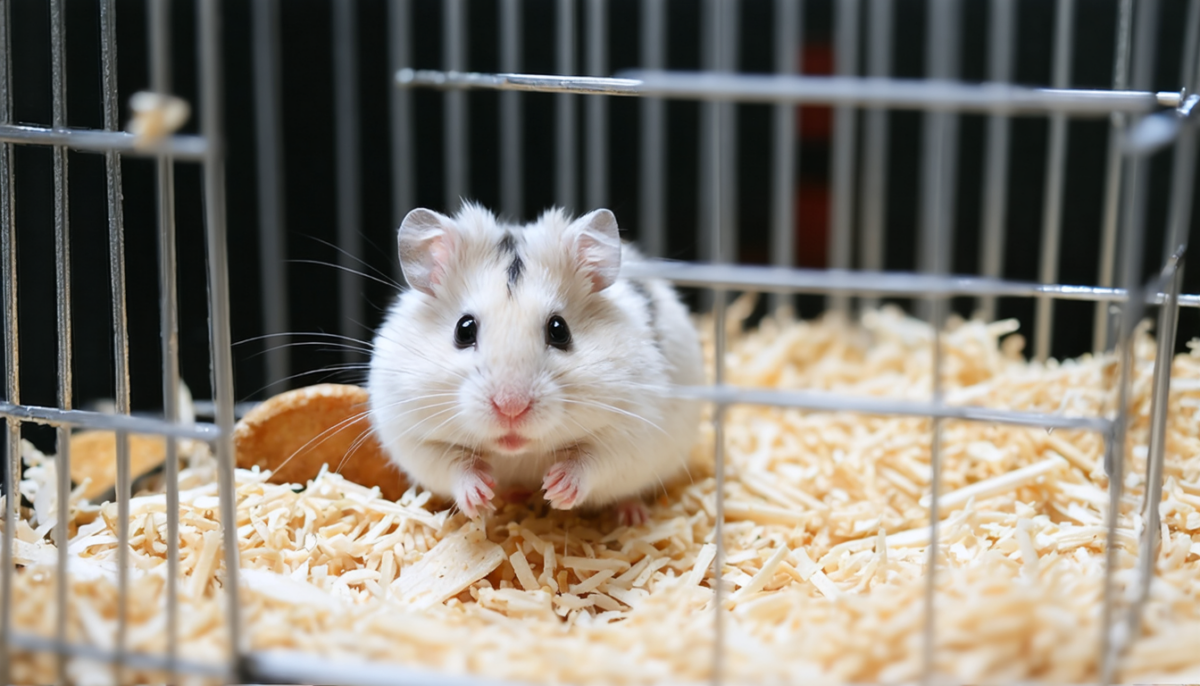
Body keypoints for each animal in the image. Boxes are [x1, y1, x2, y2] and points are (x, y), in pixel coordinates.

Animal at [367, 203, 704, 525]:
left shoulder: (634, 432)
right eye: (464, 330)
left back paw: (633, 516)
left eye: (559, 330)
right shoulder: (410, 434)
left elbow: (594, 461)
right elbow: (449, 464)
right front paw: (482, 497)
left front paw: (556, 489)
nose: (511, 408)